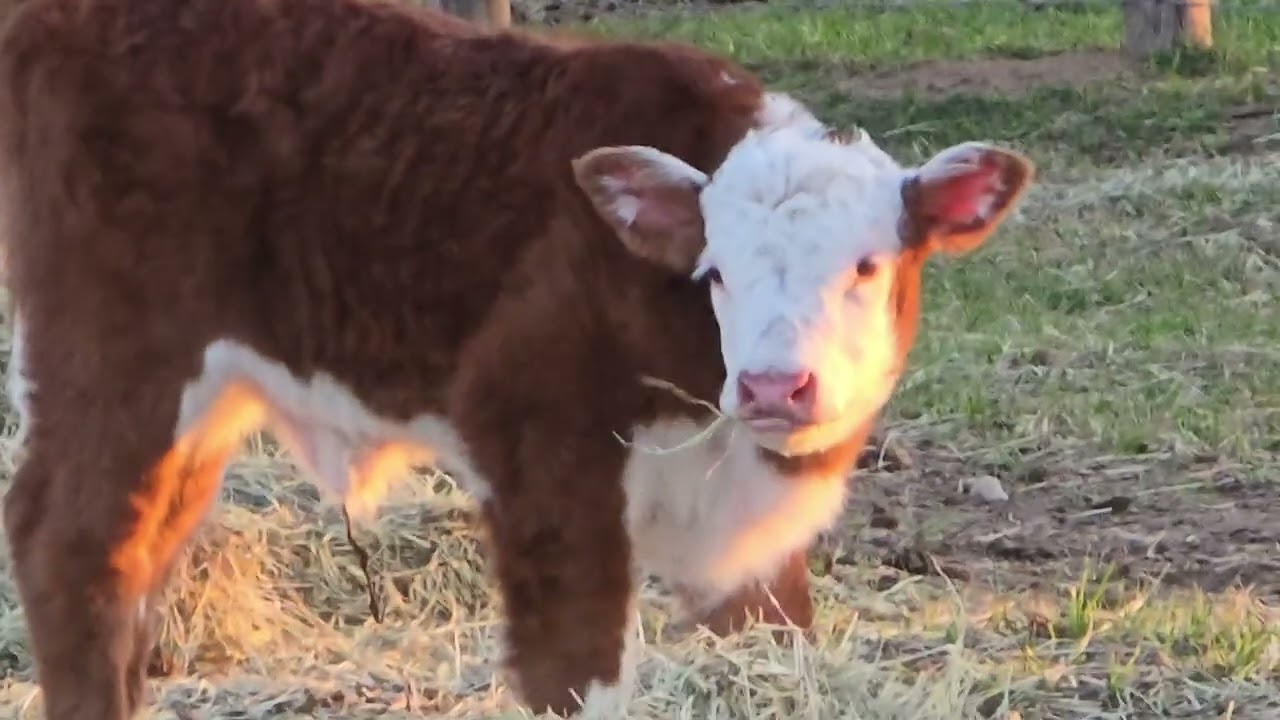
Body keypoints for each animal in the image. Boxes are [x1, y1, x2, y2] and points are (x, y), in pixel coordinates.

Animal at [0, 0, 1034, 717]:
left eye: (867, 265)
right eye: (716, 272)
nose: (775, 385)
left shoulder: (748, 536)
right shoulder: (538, 441)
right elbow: (575, 670)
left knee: (143, 552)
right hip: (117, 349)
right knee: (71, 544)